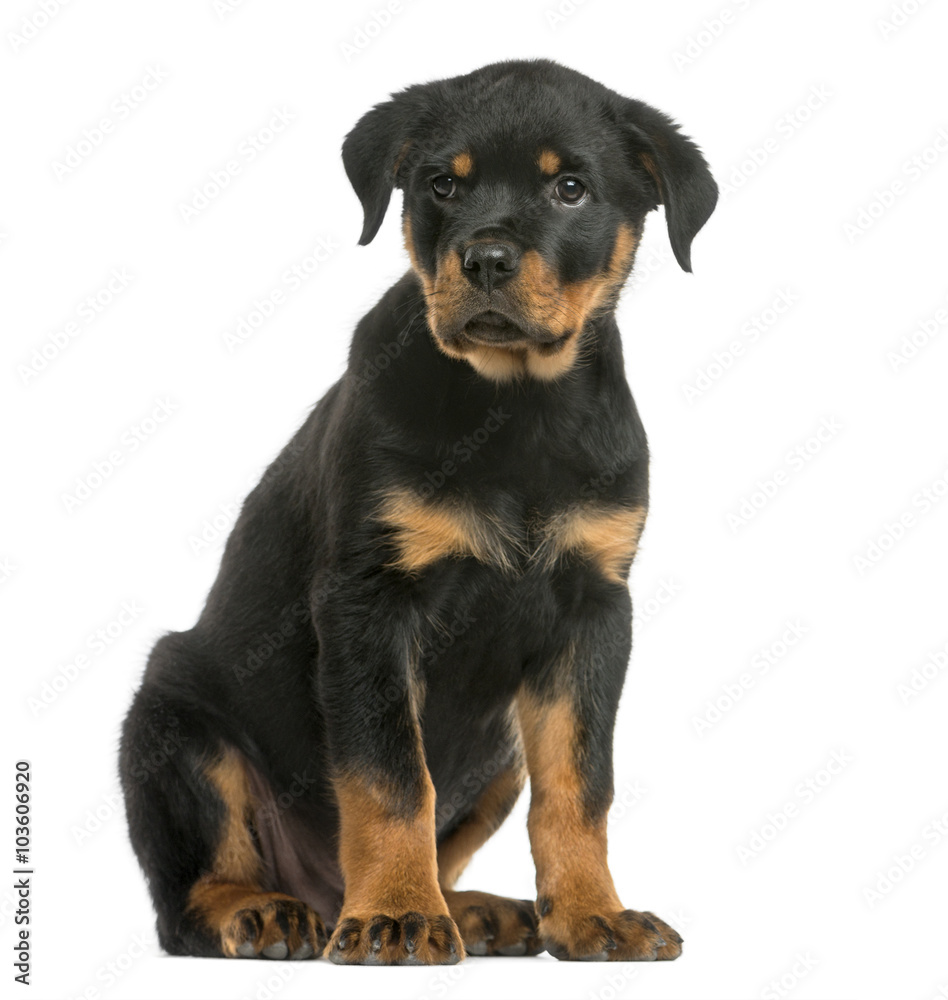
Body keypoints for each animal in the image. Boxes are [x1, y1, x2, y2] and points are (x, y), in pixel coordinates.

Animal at [118, 58, 716, 964]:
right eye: (442, 184)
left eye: (571, 188)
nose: (487, 259)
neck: (515, 407)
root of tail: (320, 893)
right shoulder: (369, 602)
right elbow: (391, 776)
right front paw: (396, 915)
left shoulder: (594, 608)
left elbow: (580, 786)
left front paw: (592, 915)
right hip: (174, 720)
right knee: (186, 897)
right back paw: (267, 912)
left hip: (503, 747)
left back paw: (471, 910)